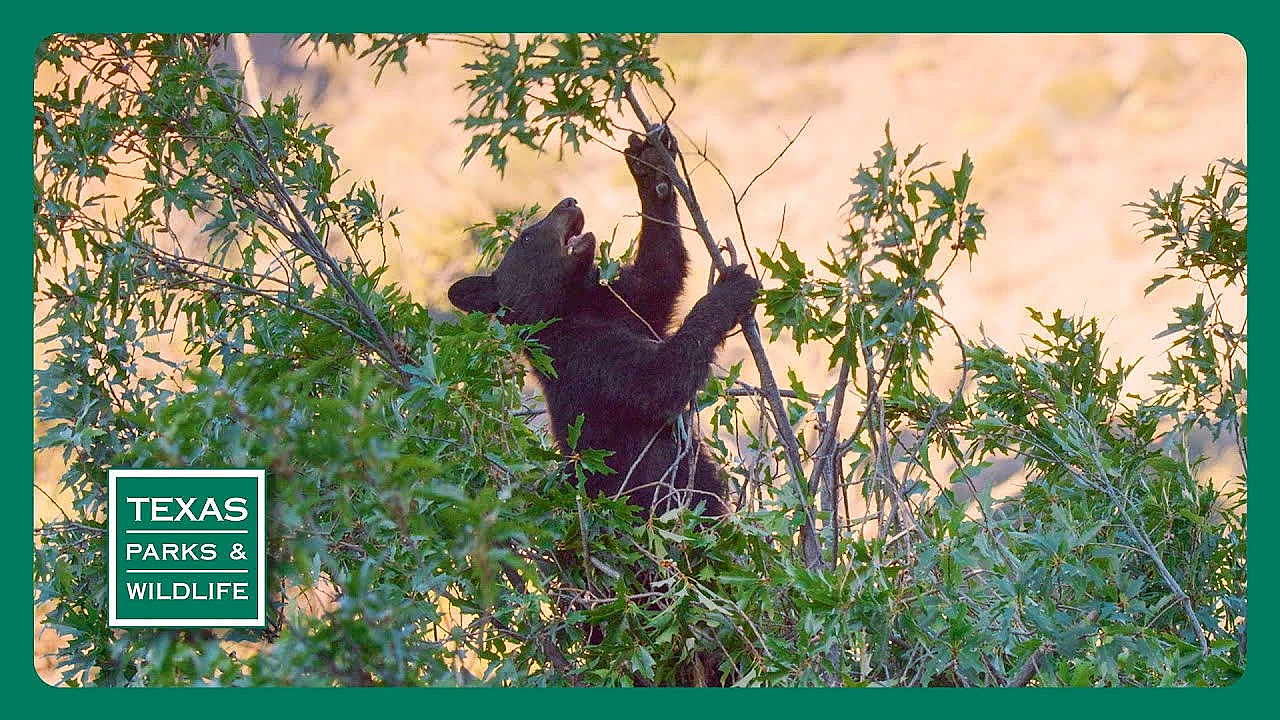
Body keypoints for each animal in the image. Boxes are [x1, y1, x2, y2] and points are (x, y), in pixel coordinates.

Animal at [448, 126, 760, 518]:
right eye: (527, 235)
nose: (569, 201)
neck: (573, 304)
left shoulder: (620, 303)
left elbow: (658, 273)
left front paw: (649, 164)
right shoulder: (582, 357)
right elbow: (657, 378)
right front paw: (732, 287)